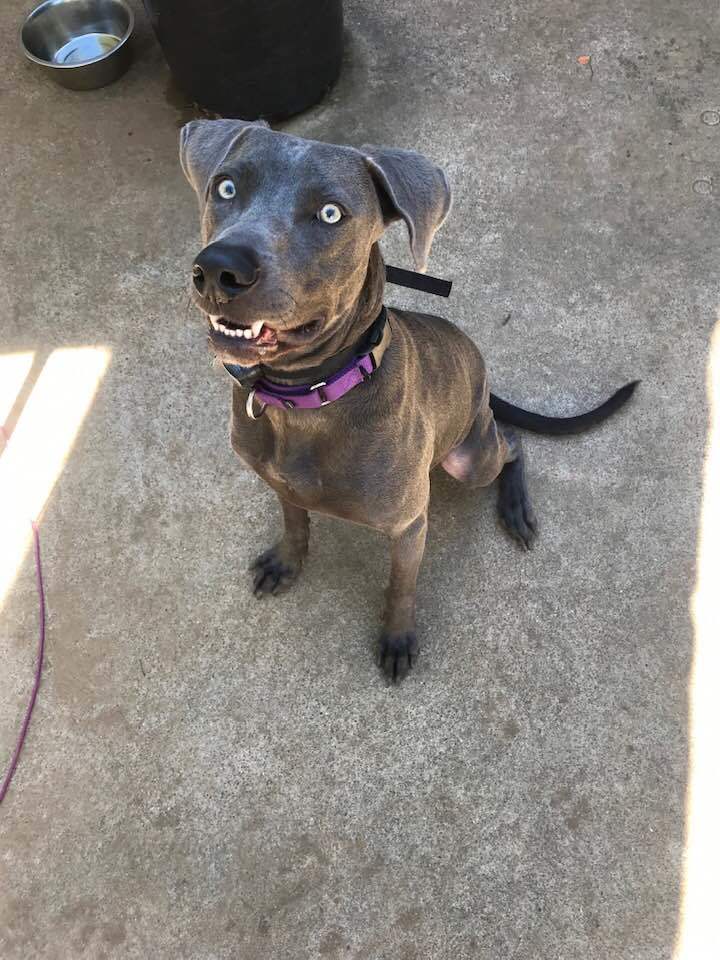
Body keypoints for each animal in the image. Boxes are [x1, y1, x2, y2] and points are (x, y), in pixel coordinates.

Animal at [180, 120, 636, 684]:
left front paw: (397, 638)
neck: (306, 398)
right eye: (225, 187)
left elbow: (401, 587)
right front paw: (287, 559)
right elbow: (294, 519)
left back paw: (515, 508)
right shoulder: (280, 482)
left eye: (330, 214)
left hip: (470, 458)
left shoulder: (408, 525)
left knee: (512, 443)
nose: (220, 268)